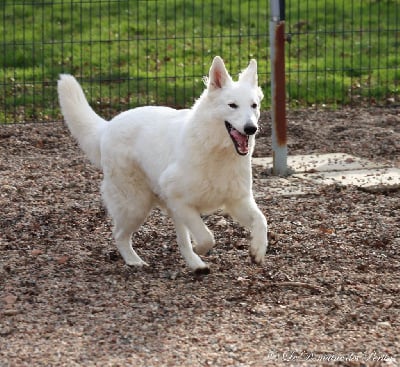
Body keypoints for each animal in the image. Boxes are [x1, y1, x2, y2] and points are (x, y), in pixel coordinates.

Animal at [57, 56, 268, 274]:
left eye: (254, 105)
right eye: (232, 105)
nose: (251, 128)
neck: (217, 151)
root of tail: (108, 126)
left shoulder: (237, 201)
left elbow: (262, 221)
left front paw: (258, 250)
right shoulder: (180, 202)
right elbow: (206, 237)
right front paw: (199, 248)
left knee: (176, 239)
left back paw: (194, 264)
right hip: (136, 206)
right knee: (119, 234)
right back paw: (134, 261)